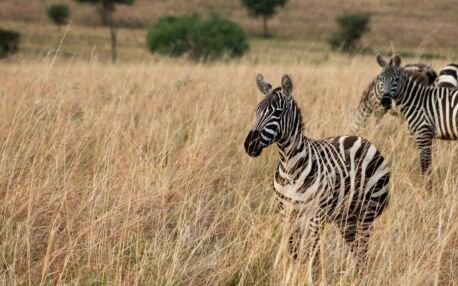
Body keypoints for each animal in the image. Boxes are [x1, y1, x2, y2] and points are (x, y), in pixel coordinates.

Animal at [243, 72, 390, 278]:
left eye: (277, 113)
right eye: (256, 111)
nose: (249, 145)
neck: (289, 167)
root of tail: (363, 139)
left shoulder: (315, 216)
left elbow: (312, 255)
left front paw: (309, 278)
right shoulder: (287, 213)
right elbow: (294, 253)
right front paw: (293, 275)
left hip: (367, 211)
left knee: (363, 250)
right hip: (346, 217)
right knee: (356, 250)